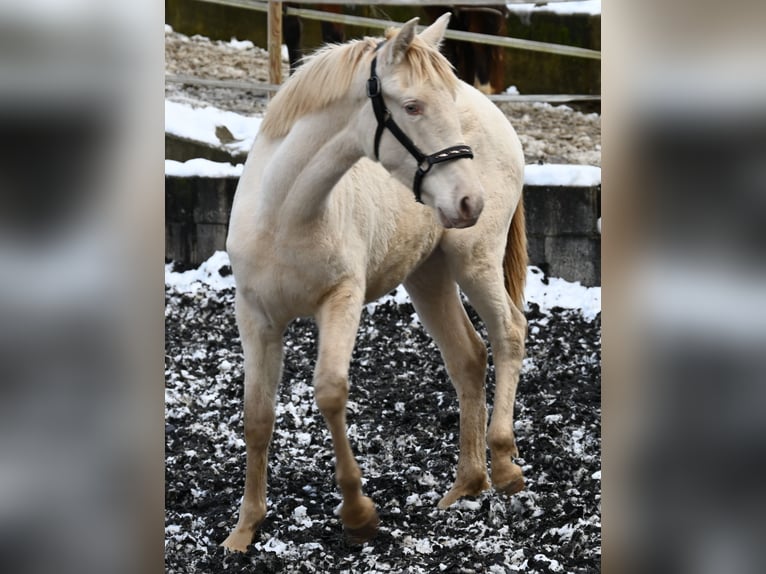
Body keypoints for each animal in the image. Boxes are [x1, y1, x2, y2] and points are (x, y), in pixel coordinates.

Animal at [222, 14, 528, 552]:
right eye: (412, 106)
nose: (471, 201)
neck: (284, 216)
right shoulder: (256, 316)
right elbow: (257, 417)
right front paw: (245, 529)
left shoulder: (341, 299)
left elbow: (329, 390)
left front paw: (358, 514)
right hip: (427, 274)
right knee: (468, 356)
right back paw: (467, 484)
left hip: (474, 261)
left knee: (509, 333)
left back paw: (504, 464)